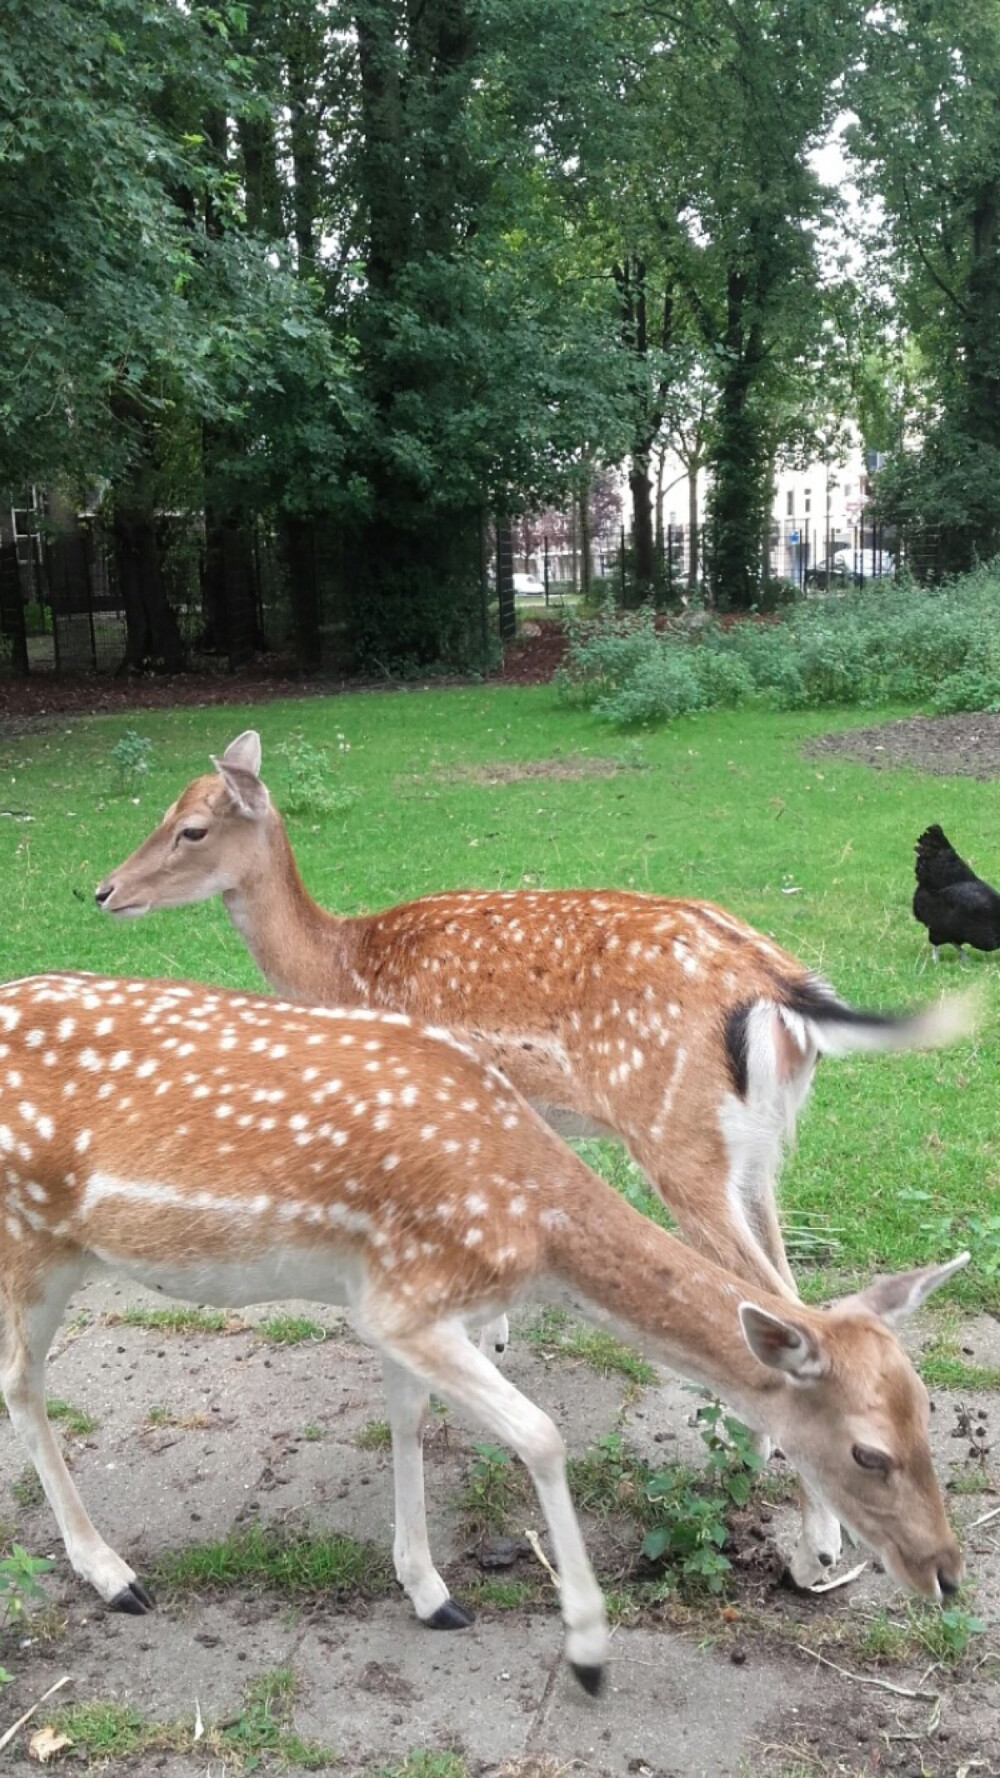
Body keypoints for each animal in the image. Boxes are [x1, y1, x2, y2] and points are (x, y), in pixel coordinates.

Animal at [0, 974, 967, 1692]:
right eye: (869, 1453)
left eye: (928, 1410)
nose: (948, 1573)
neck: (532, 1231)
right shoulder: (405, 1301)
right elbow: (540, 1434)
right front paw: (587, 1649)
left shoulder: (400, 1301)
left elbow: (408, 1422)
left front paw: (430, 1591)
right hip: (32, 1241)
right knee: (21, 1383)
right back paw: (112, 1574)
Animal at [95, 728, 975, 1593]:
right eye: (165, 808)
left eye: (191, 828)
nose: (102, 891)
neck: (338, 966)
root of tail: (785, 992)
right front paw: (494, 1335)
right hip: (758, 1151)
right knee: (788, 1290)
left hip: (678, 1140)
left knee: (775, 1301)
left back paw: (813, 1548)